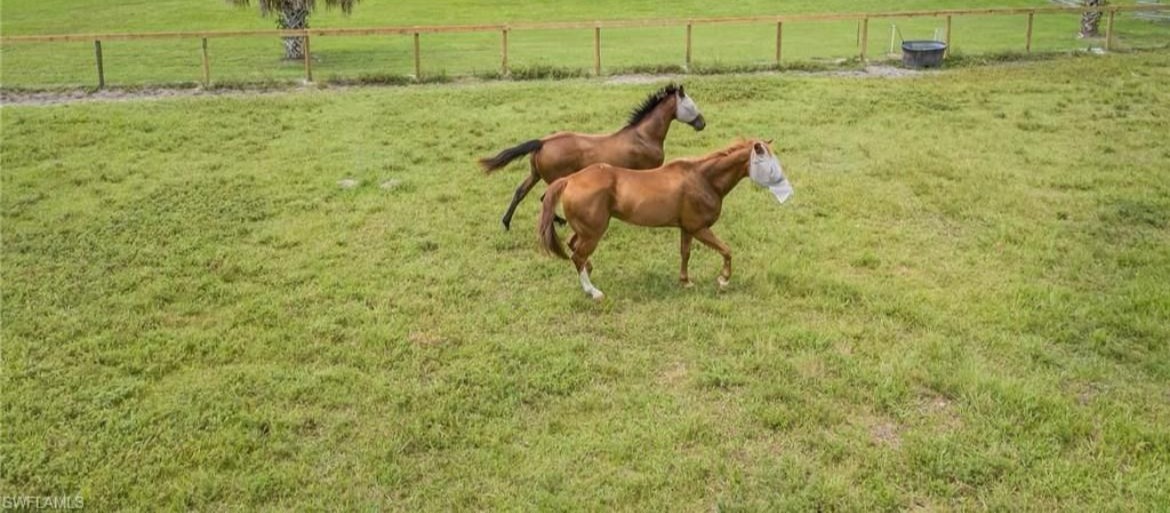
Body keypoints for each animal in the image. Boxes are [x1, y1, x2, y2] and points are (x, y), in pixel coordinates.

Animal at [479, 83, 706, 231]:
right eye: (690, 105)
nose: (702, 123)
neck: (644, 136)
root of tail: (542, 142)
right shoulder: (649, 171)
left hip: (536, 174)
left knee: (521, 192)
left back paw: (507, 223)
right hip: (553, 178)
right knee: (544, 198)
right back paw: (558, 222)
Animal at [537, 139, 793, 300]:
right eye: (768, 161)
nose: (786, 188)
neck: (704, 179)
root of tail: (569, 180)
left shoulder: (686, 228)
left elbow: (685, 253)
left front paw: (686, 281)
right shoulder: (699, 228)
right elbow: (727, 250)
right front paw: (723, 280)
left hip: (585, 230)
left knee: (574, 248)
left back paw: (589, 271)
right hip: (593, 232)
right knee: (577, 255)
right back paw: (593, 292)